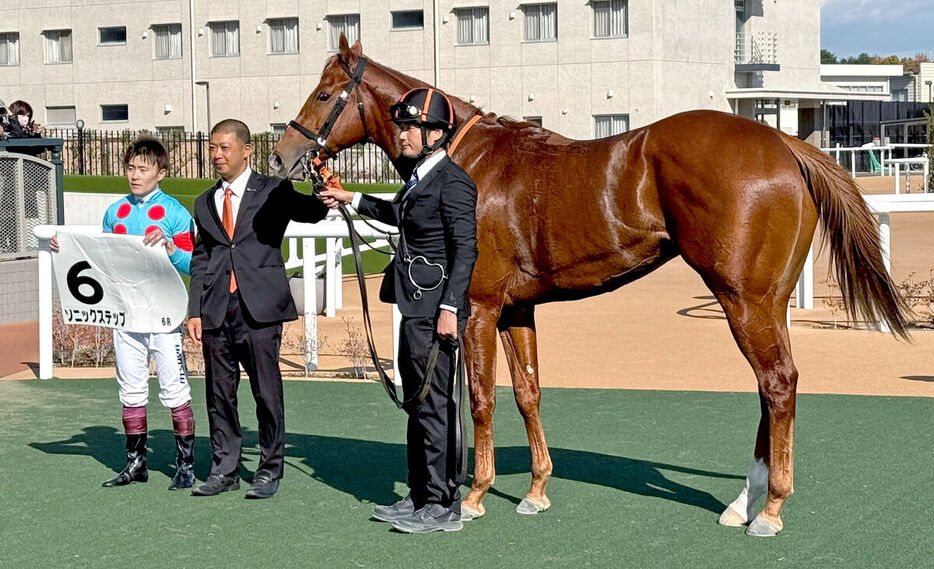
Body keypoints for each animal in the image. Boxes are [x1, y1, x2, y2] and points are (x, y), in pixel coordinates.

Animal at [268, 37, 908, 536]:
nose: (283, 155)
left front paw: (473, 496)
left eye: (323, 95)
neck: (463, 158)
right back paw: (742, 503)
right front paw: (535, 490)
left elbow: (480, 398)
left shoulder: (476, 309)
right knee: (771, 386)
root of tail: (785, 145)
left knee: (777, 383)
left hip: (744, 299)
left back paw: (771, 509)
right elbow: (529, 392)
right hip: (765, 301)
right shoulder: (515, 312)